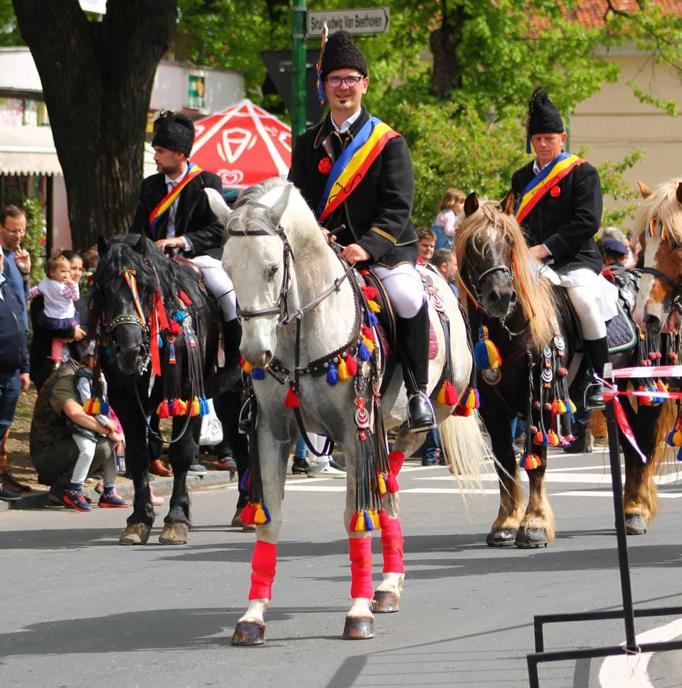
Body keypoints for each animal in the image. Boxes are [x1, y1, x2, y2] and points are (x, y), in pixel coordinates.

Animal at [91, 234, 242, 544]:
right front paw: (139, 519)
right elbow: (138, 456)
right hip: (227, 396)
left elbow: (182, 454)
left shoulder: (187, 393)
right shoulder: (125, 399)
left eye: (146, 287)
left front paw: (177, 519)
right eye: (102, 287)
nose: (130, 351)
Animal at [210, 179, 486, 644]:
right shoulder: (272, 434)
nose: (253, 352)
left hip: (414, 425)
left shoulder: (354, 430)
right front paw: (253, 616)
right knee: (388, 487)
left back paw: (385, 586)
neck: (303, 332)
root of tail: (436, 275)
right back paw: (388, 585)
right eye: (228, 268)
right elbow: (270, 520)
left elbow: (356, 516)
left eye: (272, 268)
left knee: (387, 482)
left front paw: (357, 611)